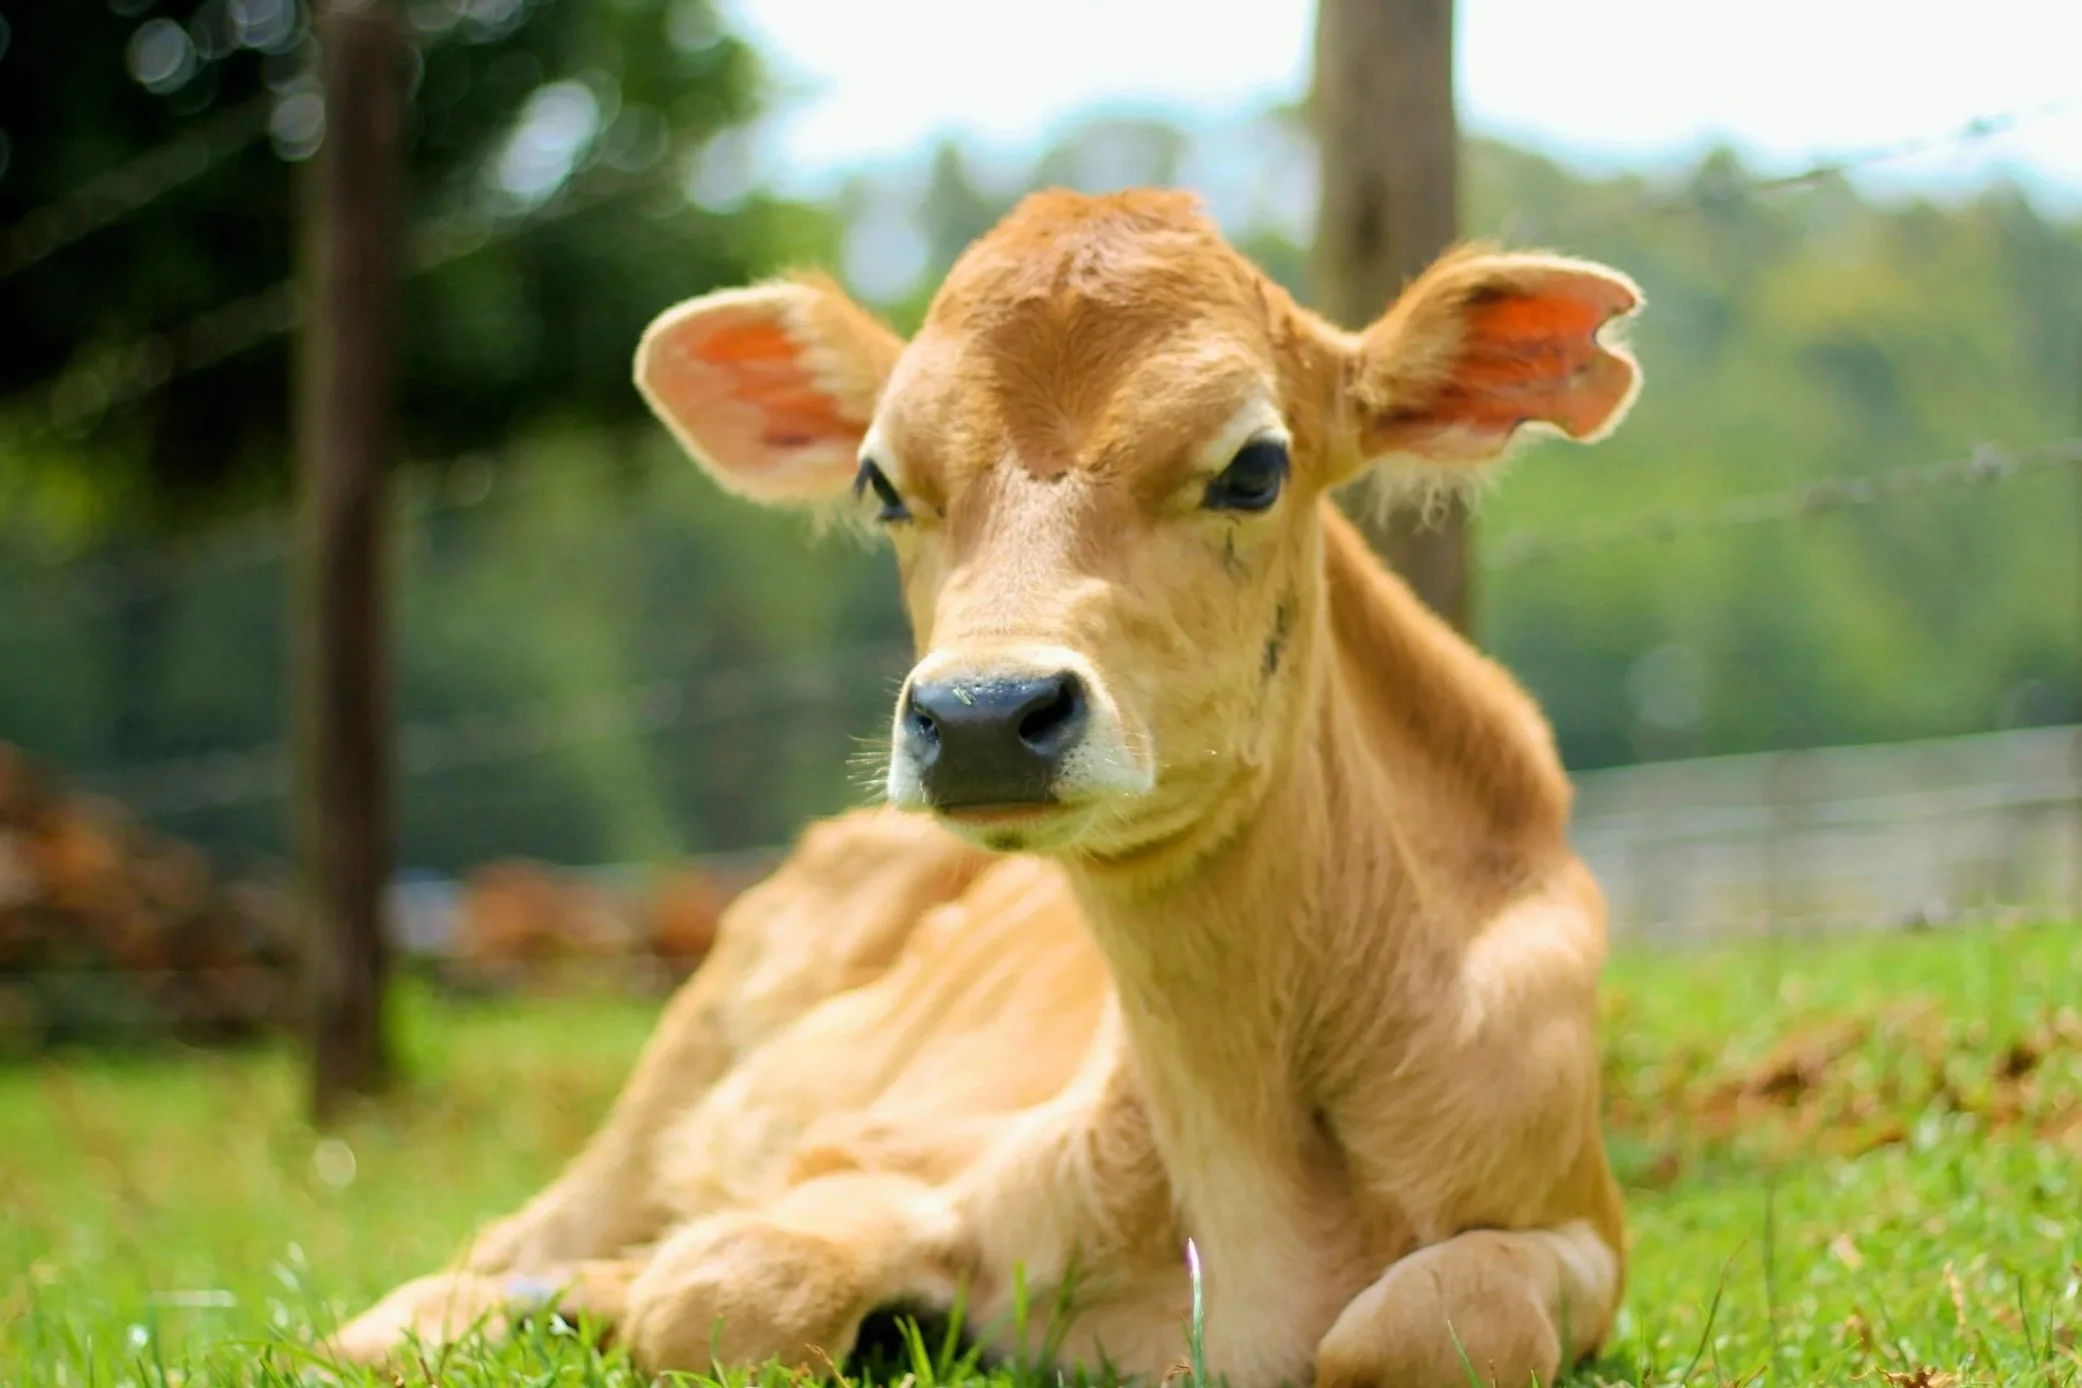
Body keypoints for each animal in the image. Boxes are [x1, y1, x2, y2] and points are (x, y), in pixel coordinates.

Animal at [331, 187, 1643, 1388]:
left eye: (1255, 466)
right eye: (879, 482)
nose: (979, 716)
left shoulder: (1580, 1225)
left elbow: (1436, 1320)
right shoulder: (882, 1153)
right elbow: (738, 1284)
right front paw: (615, 1293)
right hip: (671, 1076)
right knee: (485, 1251)